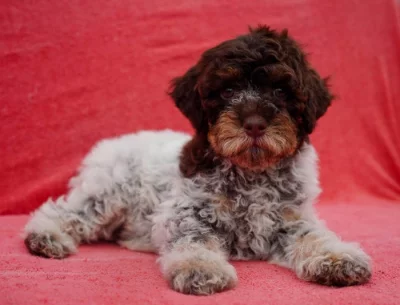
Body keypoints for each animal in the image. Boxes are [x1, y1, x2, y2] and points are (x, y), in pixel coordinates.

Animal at [24, 26, 372, 294]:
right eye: (228, 90)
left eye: (279, 91)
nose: (254, 124)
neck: (253, 172)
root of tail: (111, 144)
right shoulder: (186, 212)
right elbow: (195, 240)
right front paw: (201, 269)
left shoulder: (292, 218)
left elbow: (314, 236)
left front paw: (338, 258)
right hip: (106, 193)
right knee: (65, 211)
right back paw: (45, 237)